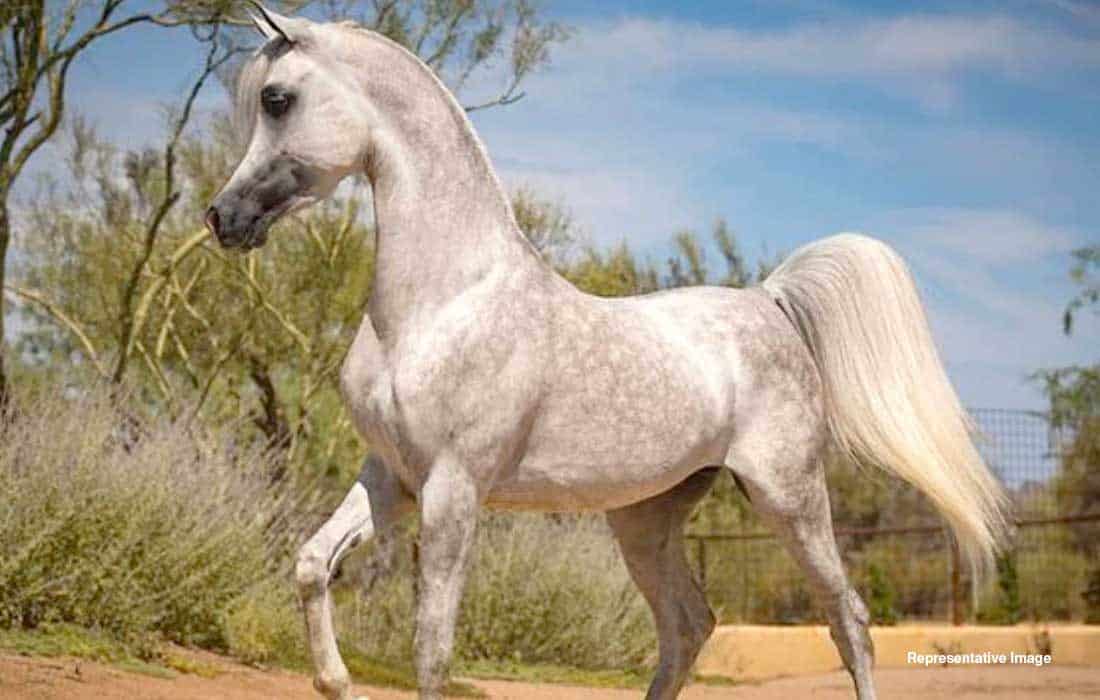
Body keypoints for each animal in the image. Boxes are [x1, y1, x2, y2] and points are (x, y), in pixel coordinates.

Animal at [205, 6, 1010, 700]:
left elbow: (431, 648)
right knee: (690, 627)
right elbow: (312, 566)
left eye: (277, 98)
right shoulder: (392, 476)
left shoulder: (453, 487)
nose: (223, 217)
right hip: (646, 519)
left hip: (789, 496)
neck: (443, 300)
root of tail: (768, 300)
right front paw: (338, 684)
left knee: (848, 621)